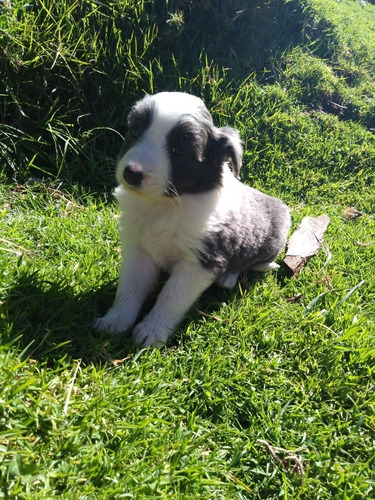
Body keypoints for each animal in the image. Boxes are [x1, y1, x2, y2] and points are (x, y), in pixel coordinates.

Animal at [94, 92, 290, 346]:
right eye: (135, 131)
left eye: (180, 151)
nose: (132, 173)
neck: (166, 204)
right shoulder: (138, 248)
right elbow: (129, 287)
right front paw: (116, 320)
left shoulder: (200, 261)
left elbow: (170, 297)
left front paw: (152, 331)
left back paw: (228, 276)